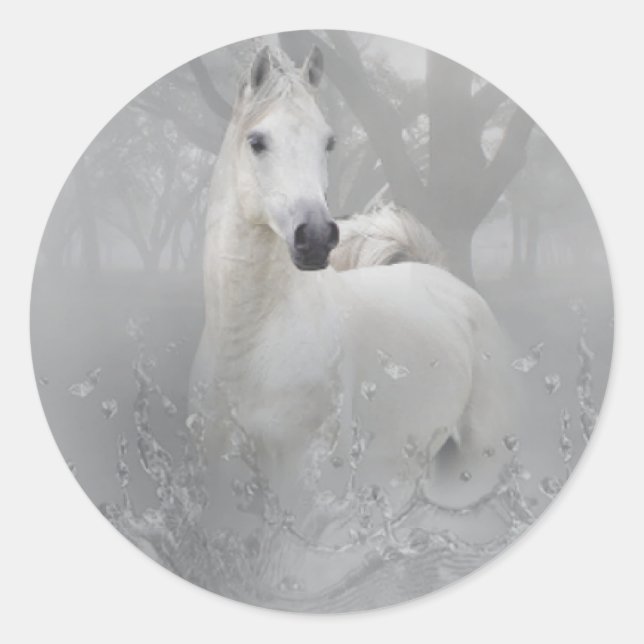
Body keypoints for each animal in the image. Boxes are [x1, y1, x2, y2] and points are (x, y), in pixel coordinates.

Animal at [190, 46, 512, 531]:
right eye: (257, 141)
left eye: (328, 142)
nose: (316, 237)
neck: (250, 346)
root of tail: (440, 277)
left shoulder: (309, 500)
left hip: (471, 467)